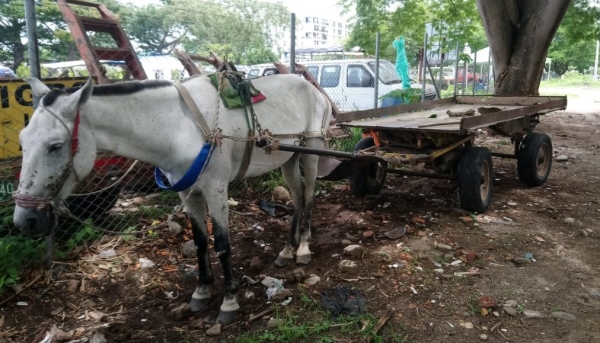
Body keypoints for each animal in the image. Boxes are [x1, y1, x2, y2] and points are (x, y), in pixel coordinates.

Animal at [12, 74, 332, 326]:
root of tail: (315, 88)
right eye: (22, 140)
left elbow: (222, 245)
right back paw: (287, 250)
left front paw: (229, 300)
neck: (180, 128)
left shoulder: (216, 188)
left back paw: (303, 247)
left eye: (55, 145)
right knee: (298, 197)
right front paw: (202, 290)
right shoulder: (188, 191)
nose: (25, 221)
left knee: (309, 197)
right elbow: (201, 241)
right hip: (288, 158)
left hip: (312, 150)